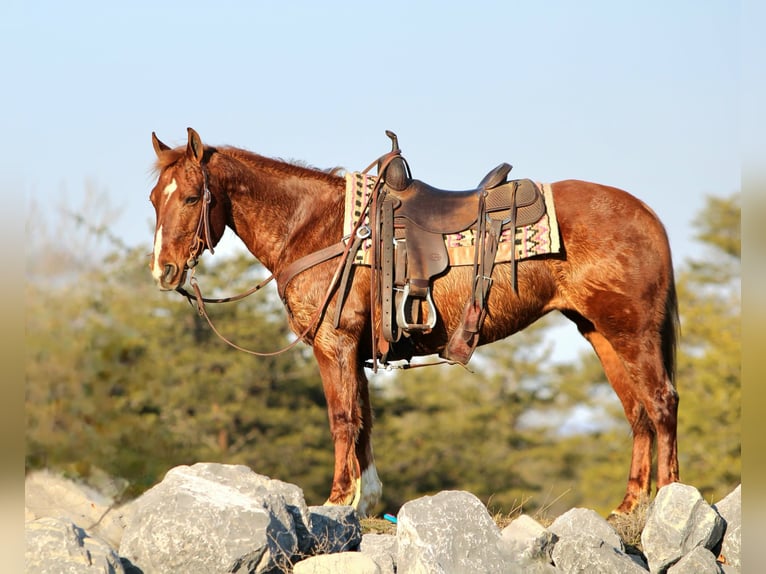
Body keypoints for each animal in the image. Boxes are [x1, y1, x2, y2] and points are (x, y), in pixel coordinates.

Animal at [148, 127, 679, 517]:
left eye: (193, 198)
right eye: (155, 197)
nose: (163, 271)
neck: (316, 226)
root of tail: (648, 214)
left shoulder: (334, 342)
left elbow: (342, 418)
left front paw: (336, 499)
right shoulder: (356, 351)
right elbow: (363, 421)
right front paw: (364, 501)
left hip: (630, 331)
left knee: (660, 402)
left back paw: (671, 497)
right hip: (600, 332)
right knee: (636, 412)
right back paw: (628, 506)